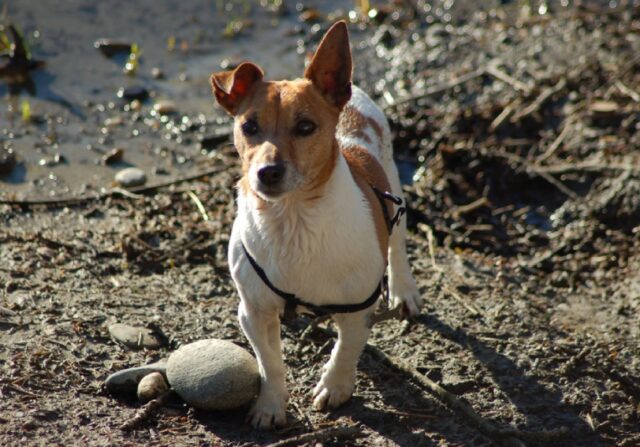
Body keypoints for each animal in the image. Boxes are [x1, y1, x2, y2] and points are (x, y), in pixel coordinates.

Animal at [210, 21, 420, 430]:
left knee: (397, 244)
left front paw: (335, 386)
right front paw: (271, 405)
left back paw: (404, 291)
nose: (267, 172)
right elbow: (270, 363)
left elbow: (345, 349)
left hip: (393, 189)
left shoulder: (358, 310)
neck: (292, 219)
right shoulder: (253, 312)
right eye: (249, 126)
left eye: (306, 126)